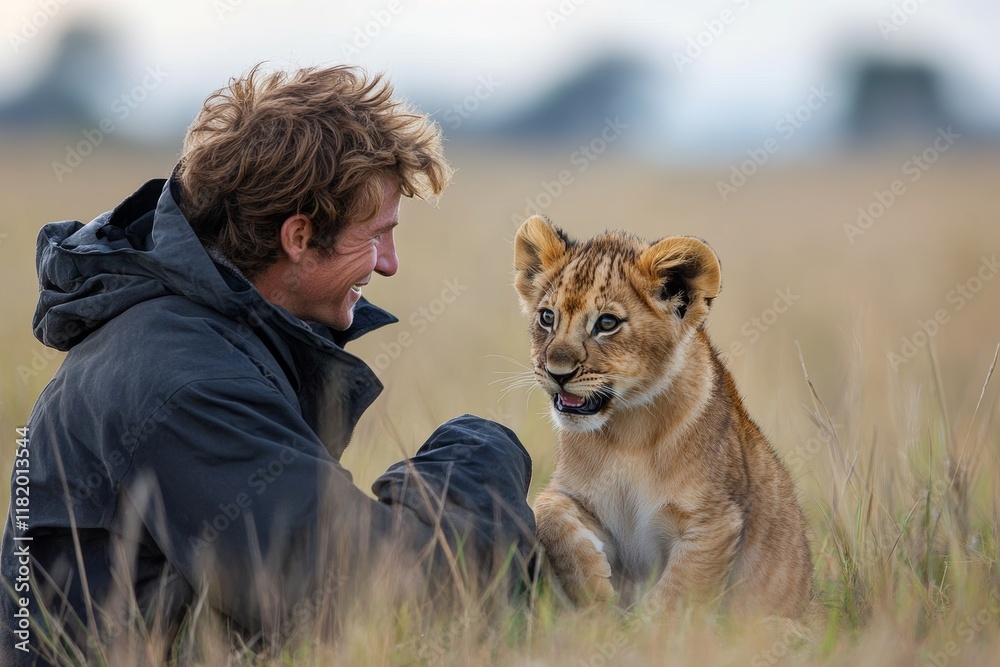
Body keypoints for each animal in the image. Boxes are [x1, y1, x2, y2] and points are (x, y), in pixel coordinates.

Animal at [512, 214, 812, 619]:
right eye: (547, 317)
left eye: (607, 323)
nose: (557, 372)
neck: (627, 432)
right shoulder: (576, 497)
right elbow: (548, 513)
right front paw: (596, 598)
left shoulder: (714, 521)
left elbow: (677, 597)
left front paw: (644, 629)